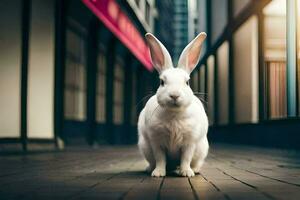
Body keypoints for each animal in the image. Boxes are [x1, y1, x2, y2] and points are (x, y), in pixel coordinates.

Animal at [138, 32, 209, 178]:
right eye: (162, 82)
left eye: (187, 82)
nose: (174, 95)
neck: (174, 114)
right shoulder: (156, 141)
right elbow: (160, 159)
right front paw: (158, 173)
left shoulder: (189, 142)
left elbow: (186, 159)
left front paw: (186, 173)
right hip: (145, 147)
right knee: (153, 161)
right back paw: (149, 169)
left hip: (202, 149)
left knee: (195, 162)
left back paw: (193, 170)